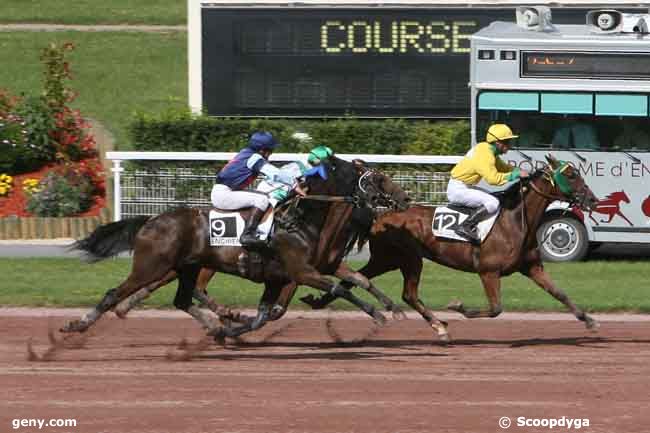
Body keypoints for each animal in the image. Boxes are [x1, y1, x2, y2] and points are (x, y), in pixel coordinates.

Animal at [59, 157, 404, 336]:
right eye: (376, 178)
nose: (405, 197)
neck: (303, 219)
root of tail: (150, 220)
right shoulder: (301, 272)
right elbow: (338, 289)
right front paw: (379, 314)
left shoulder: (299, 272)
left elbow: (359, 280)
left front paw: (394, 308)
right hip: (152, 265)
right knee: (115, 293)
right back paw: (79, 324)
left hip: (186, 266)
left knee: (183, 299)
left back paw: (217, 323)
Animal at [286, 155, 596, 340]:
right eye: (571, 175)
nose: (592, 199)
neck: (515, 220)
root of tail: (381, 215)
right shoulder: (488, 271)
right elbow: (495, 308)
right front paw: (458, 307)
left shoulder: (531, 267)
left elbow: (560, 293)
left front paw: (589, 320)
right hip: (407, 258)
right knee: (405, 293)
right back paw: (438, 325)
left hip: (389, 259)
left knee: (361, 279)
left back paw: (318, 300)